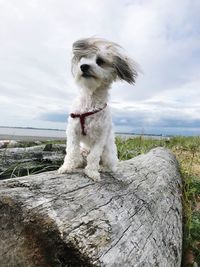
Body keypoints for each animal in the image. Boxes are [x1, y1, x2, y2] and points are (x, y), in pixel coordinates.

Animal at [57, 37, 138, 182]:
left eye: (100, 61)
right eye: (82, 59)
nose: (83, 66)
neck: (90, 101)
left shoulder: (100, 137)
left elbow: (94, 156)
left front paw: (92, 172)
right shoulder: (72, 131)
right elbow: (71, 150)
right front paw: (67, 167)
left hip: (108, 154)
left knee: (111, 166)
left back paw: (102, 168)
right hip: (83, 149)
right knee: (80, 156)